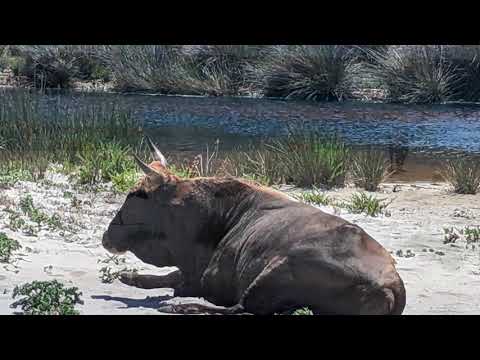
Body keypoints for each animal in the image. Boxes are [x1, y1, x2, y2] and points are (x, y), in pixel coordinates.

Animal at [103, 136, 406, 314]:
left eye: (137, 194)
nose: (107, 235)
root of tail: (390, 283)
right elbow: (169, 276)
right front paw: (130, 277)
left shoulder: (210, 281)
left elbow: (179, 283)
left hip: (278, 267)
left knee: (239, 309)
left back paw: (180, 308)